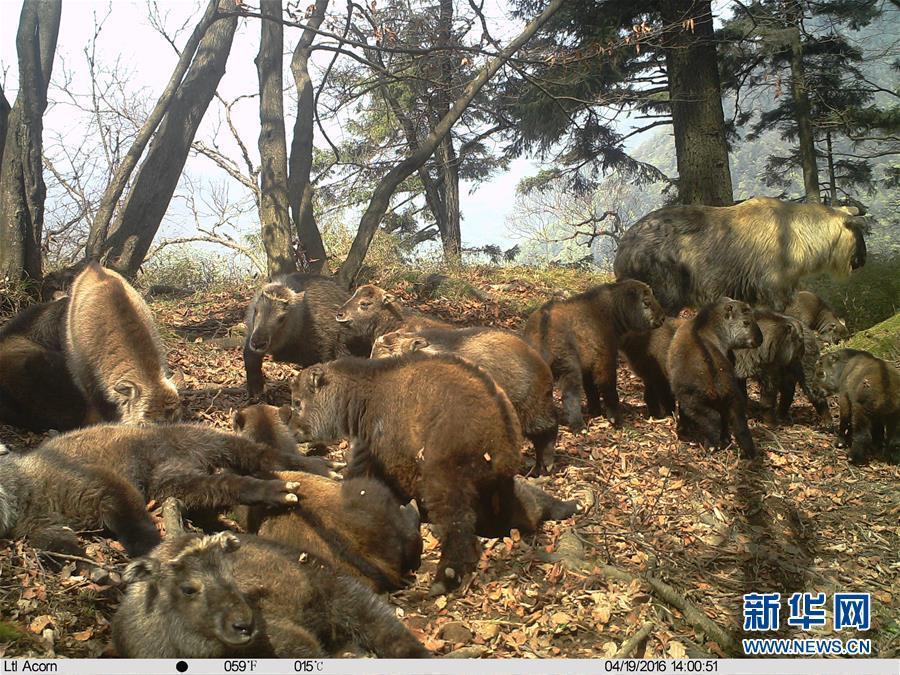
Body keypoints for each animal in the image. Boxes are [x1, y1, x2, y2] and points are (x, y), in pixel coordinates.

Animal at [288, 356, 572, 596]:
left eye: (298, 402)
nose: (293, 431)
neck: (367, 392)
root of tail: (501, 431)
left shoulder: (374, 451)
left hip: (445, 482)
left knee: (459, 526)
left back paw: (445, 576)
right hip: (497, 487)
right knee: (517, 514)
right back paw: (564, 506)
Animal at [520, 282, 668, 434]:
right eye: (646, 302)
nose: (662, 318)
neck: (612, 310)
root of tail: (543, 325)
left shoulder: (588, 366)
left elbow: (591, 390)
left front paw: (595, 412)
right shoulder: (604, 361)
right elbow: (608, 389)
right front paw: (616, 420)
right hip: (568, 370)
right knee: (570, 397)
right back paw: (579, 427)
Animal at [664, 298, 764, 456]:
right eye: (746, 322)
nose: (760, 339)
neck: (703, 324)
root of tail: (719, 385)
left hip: (694, 403)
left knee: (713, 418)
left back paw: (710, 446)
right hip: (735, 402)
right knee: (739, 425)